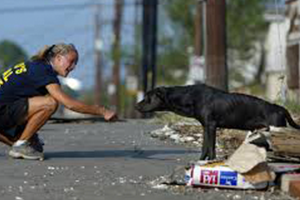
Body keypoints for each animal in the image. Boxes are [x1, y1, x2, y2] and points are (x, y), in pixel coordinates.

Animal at [135, 83, 300, 160]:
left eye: (148, 97)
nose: (136, 105)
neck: (190, 96)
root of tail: (280, 108)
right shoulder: (205, 127)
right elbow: (205, 147)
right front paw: (201, 161)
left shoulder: (211, 126)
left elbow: (211, 147)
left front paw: (211, 161)